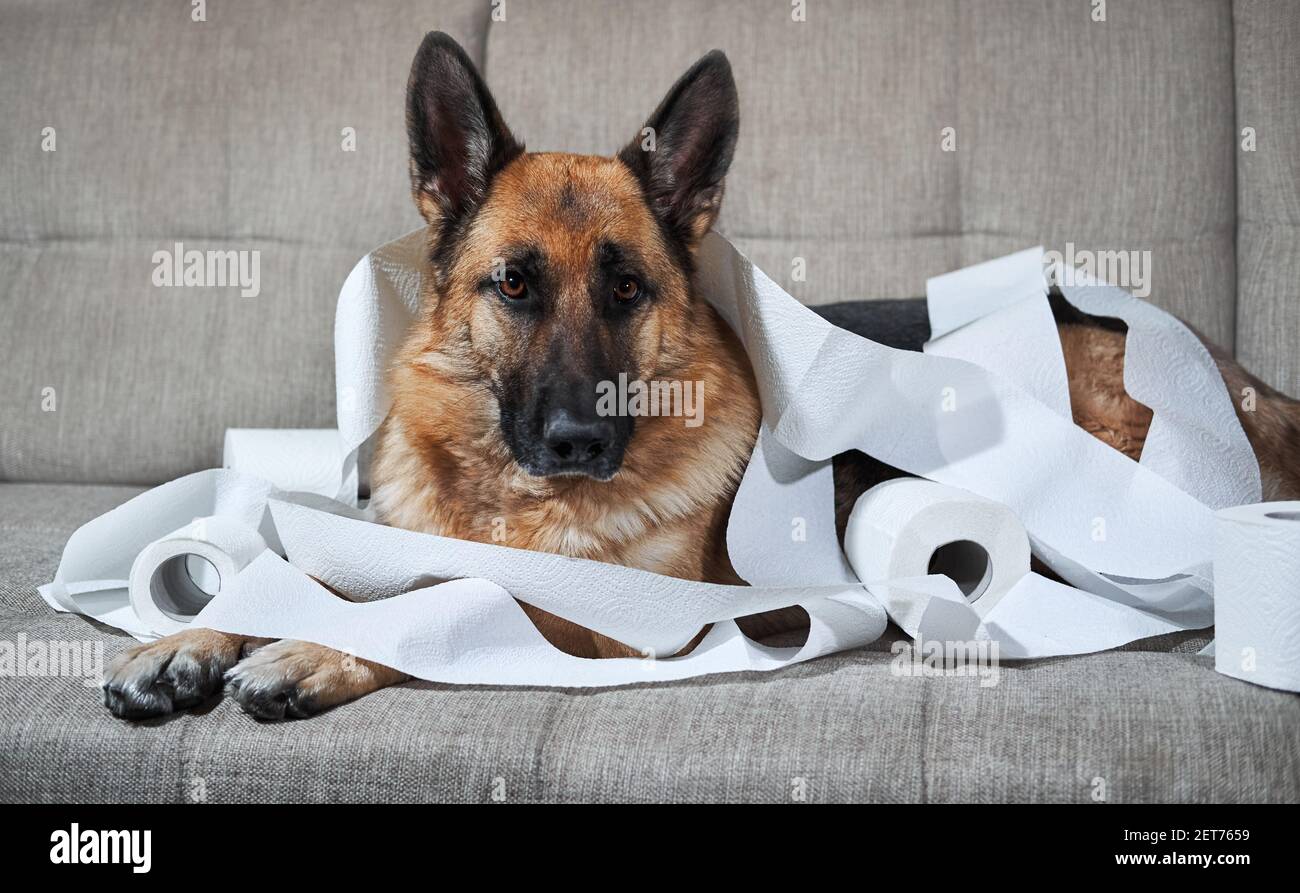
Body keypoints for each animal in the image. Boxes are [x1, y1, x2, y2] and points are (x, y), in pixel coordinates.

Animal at [104, 31, 1300, 722]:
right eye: (514, 284)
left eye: (628, 288)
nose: (580, 443)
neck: (511, 499)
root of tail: (1239, 375)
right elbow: (313, 570)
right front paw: (193, 636)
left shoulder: (620, 621)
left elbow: (453, 596)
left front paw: (311, 651)